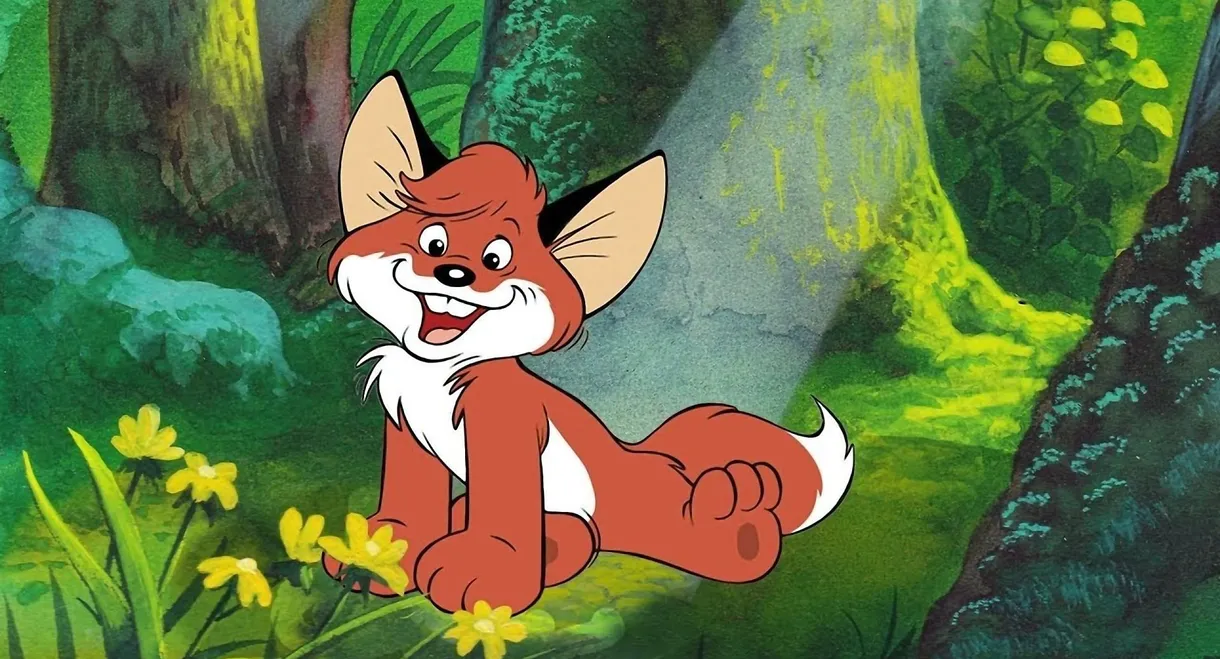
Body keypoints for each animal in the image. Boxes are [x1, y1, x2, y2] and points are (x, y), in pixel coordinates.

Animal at [321, 71, 855, 614]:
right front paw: (379, 553)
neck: (437, 373)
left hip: (656, 515)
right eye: (433, 242)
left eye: (497, 258)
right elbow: (411, 502)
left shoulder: (505, 424)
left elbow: (502, 516)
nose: (454, 273)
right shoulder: (403, 420)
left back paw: (735, 508)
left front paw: (482, 572)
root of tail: (638, 456)